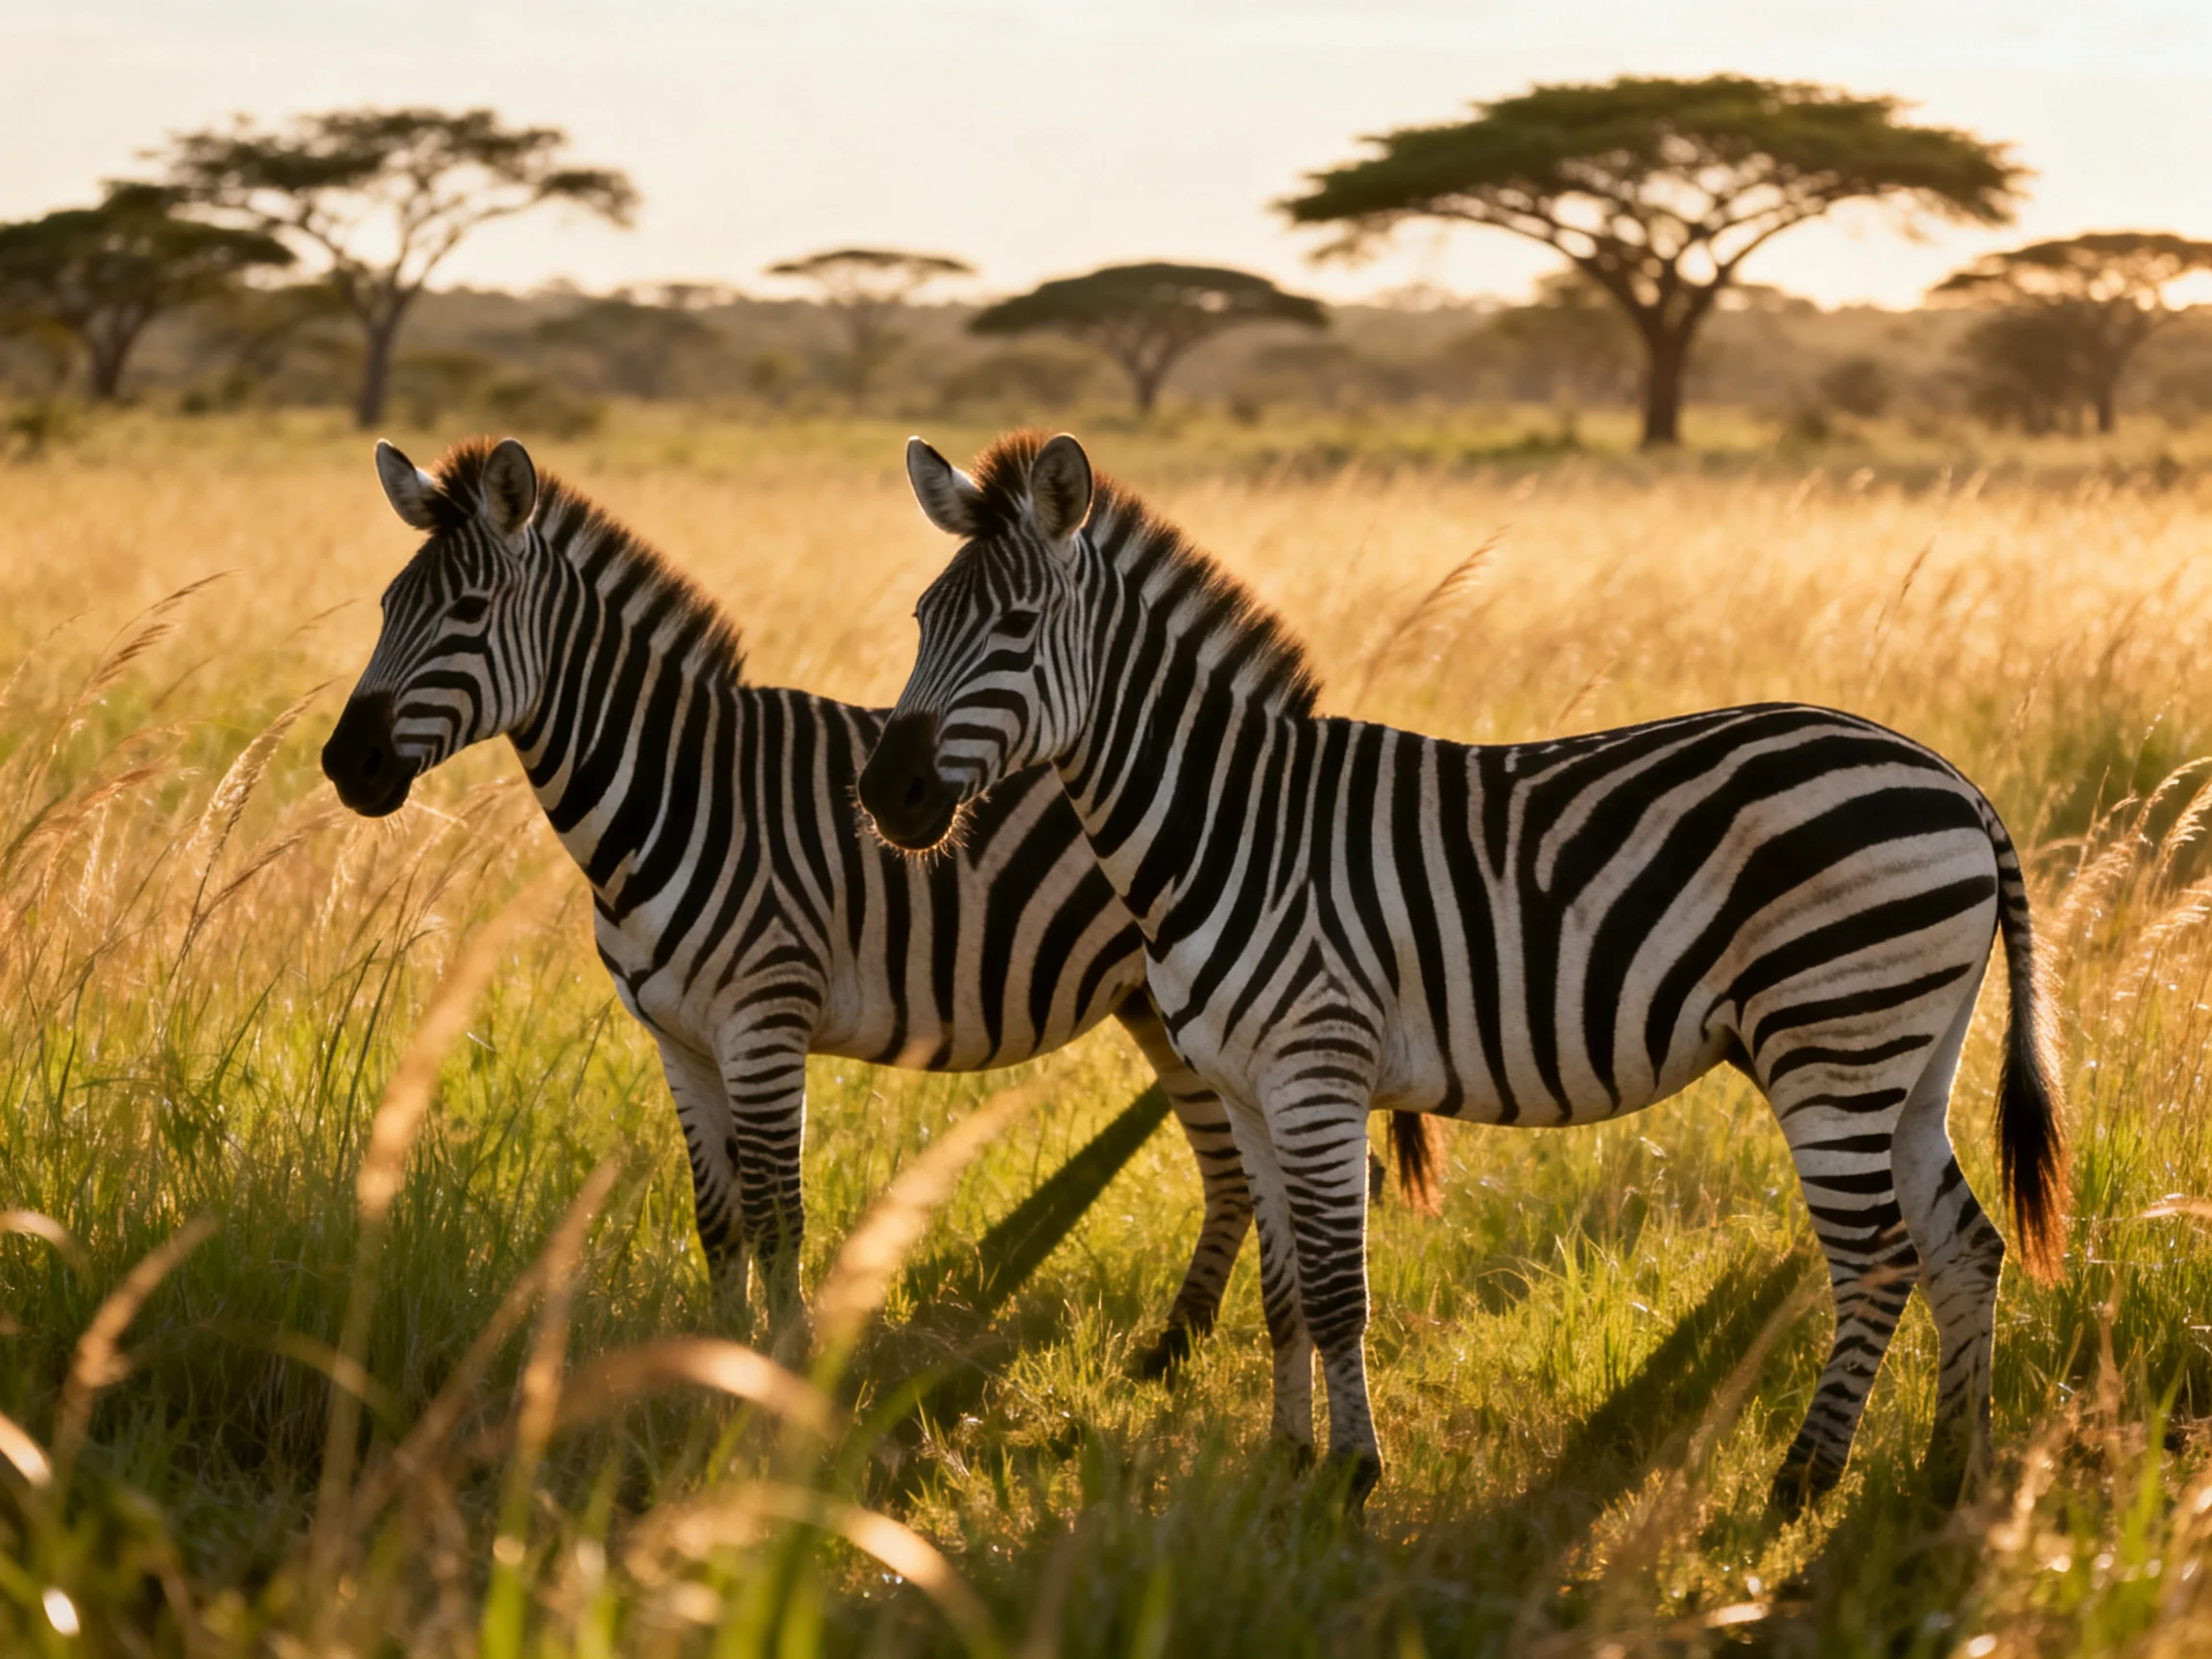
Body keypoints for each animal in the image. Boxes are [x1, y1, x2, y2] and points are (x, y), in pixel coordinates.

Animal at [318, 433, 1359, 1362]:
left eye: (467, 609)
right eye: (387, 605)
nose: (342, 764)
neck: (673, 793)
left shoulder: (764, 1021)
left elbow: (779, 1213)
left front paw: (778, 1369)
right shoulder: (678, 1040)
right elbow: (719, 1217)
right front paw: (715, 1359)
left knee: (1236, 1170)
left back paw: (1177, 1348)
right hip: (1158, 1009)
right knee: (1229, 1173)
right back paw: (1173, 1350)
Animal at [857, 429, 2071, 1508]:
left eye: (1018, 626)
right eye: (919, 620)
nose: (886, 795)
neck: (1231, 823)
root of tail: (1957, 782)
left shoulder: (1318, 1070)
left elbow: (1336, 1296)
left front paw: (1351, 1476)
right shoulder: (1246, 1088)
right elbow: (1282, 1292)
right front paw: (1284, 1461)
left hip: (1834, 1040)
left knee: (1877, 1259)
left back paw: (1806, 1482)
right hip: (1907, 1052)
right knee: (1964, 1246)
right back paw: (1949, 1473)